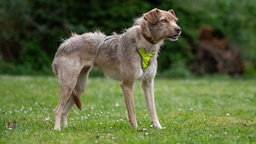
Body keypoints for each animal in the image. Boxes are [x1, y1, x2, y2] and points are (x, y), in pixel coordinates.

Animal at [52, 7, 180, 130]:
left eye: (174, 21)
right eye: (163, 20)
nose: (178, 29)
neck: (144, 46)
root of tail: (62, 45)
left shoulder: (148, 83)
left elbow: (152, 109)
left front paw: (158, 127)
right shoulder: (127, 85)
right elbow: (132, 112)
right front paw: (136, 129)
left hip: (79, 88)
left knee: (64, 111)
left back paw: (65, 129)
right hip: (68, 85)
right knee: (57, 110)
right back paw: (57, 129)